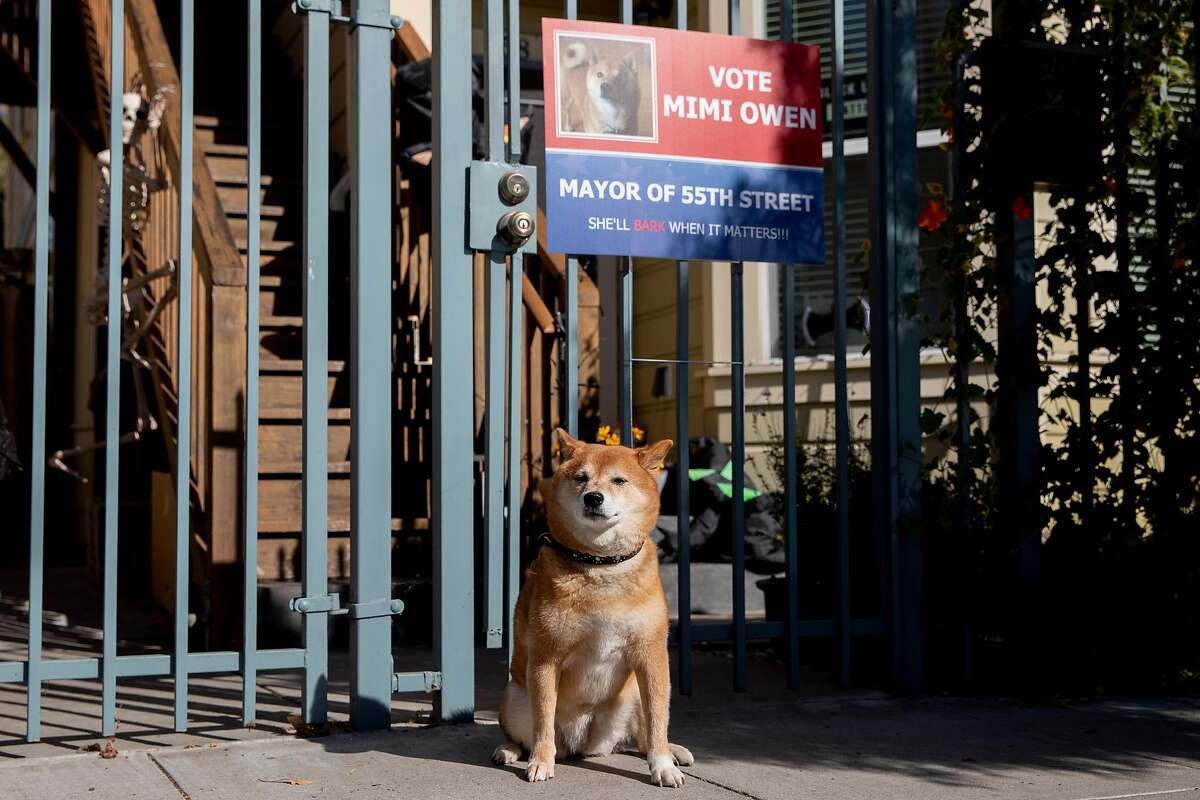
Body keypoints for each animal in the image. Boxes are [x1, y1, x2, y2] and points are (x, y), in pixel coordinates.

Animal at [489, 429, 696, 786]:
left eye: (619, 480)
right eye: (581, 478)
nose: (593, 497)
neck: (601, 565)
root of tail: (586, 745)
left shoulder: (651, 656)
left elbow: (658, 721)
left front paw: (663, 765)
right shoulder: (546, 658)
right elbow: (542, 723)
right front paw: (541, 762)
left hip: (634, 692)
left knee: (642, 738)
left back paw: (674, 751)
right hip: (515, 695)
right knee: (522, 735)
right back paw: (509, 751)